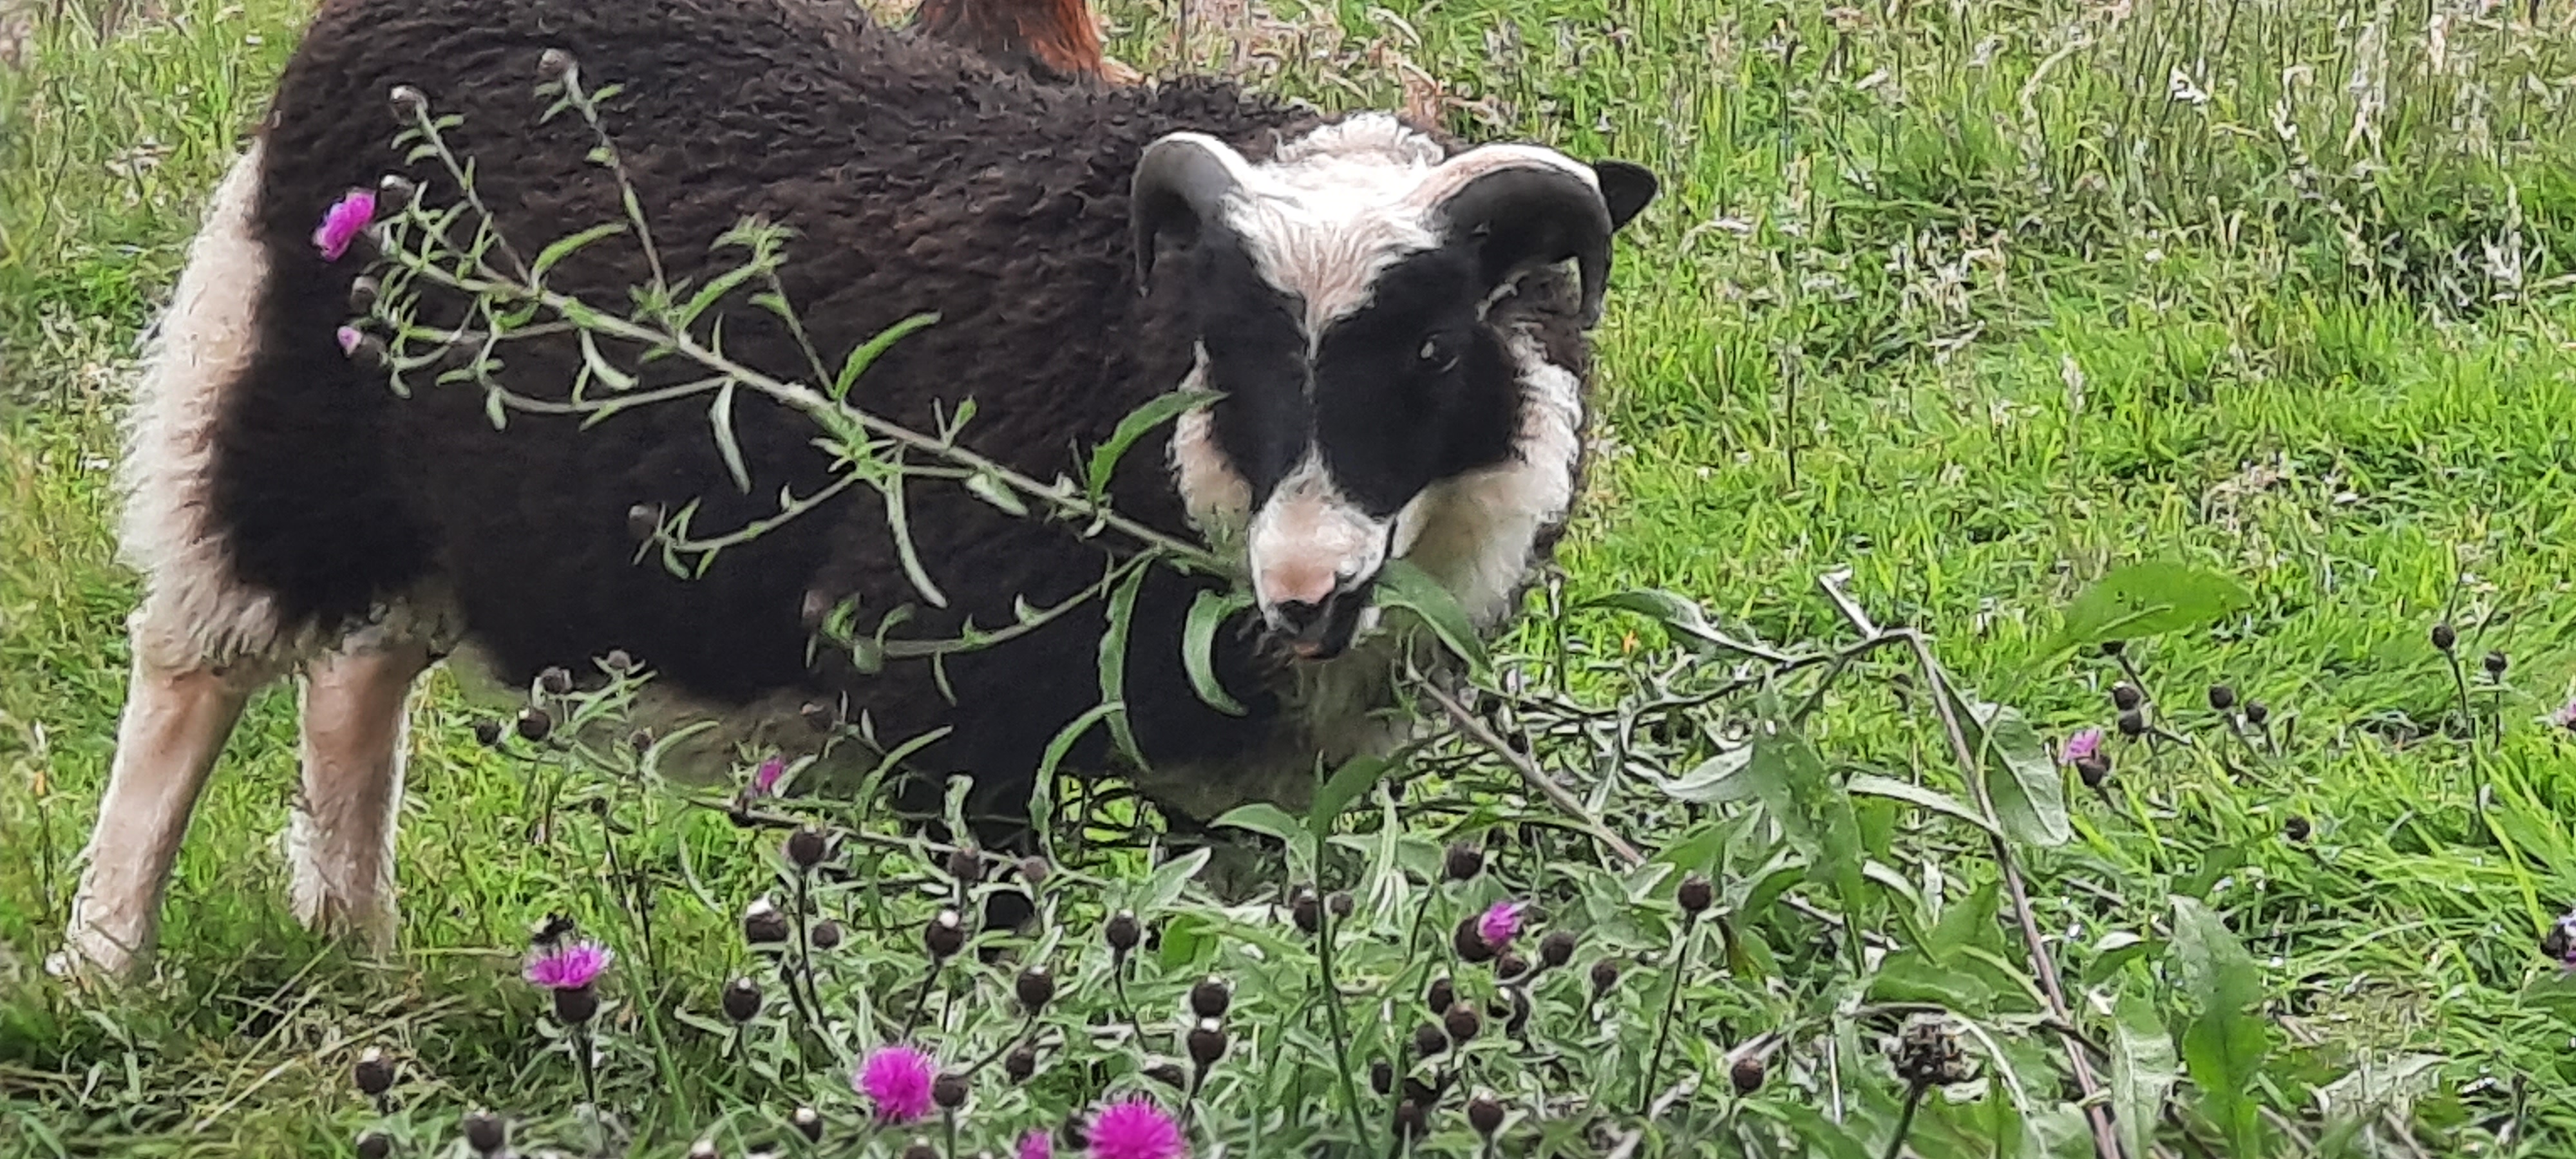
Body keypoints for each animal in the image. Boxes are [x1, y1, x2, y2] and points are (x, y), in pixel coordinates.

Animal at [59, 0, 1657, 978]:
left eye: (1438, 345)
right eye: (1224, 347)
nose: (1305, 591)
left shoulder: (1263, 784)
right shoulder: (958, 725)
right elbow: (1006, 943)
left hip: (458, 505)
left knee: (359, 680)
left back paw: (359, 949)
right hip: (282, 429)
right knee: (192, 666)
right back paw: (105, 970)